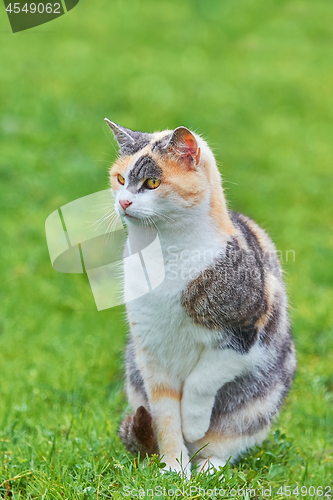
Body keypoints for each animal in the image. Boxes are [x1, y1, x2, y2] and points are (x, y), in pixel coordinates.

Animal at [105, 119, 294, 478]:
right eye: (120, 180)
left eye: (152, 182)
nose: (124, 203)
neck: (164, 254)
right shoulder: (150, 350)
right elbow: (165, 415)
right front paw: (174, 469)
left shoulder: (243, 335)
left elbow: (201, 380)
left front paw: (193, 424)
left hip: (260, 399)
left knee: (226, 439)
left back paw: (208, 467)